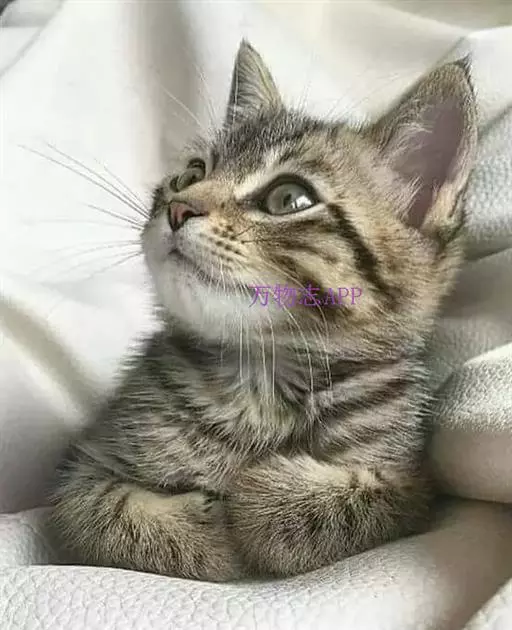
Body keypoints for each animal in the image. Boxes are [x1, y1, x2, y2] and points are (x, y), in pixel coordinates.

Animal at [49, 40, 477, 582]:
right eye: (191, 174)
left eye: (289, 198)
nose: (177, 207)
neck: (261, 377)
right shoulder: (83, 464)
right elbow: (102, 516)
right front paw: (207, 537)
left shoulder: (411, 478)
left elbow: (365, 497)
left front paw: (261, 499)